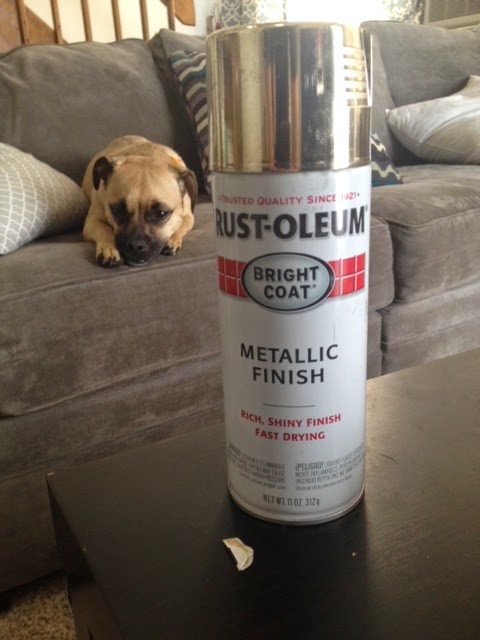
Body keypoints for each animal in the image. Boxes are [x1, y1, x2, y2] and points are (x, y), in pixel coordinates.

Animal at [82, 135, 197, 267]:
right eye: (117, 210)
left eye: (161, 213)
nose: (135, 246)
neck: (145, 155)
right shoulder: (92, 221)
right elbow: (104, 229)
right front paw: (109, 249)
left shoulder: (189, 217)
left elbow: (181, 226)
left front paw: (173, 240)